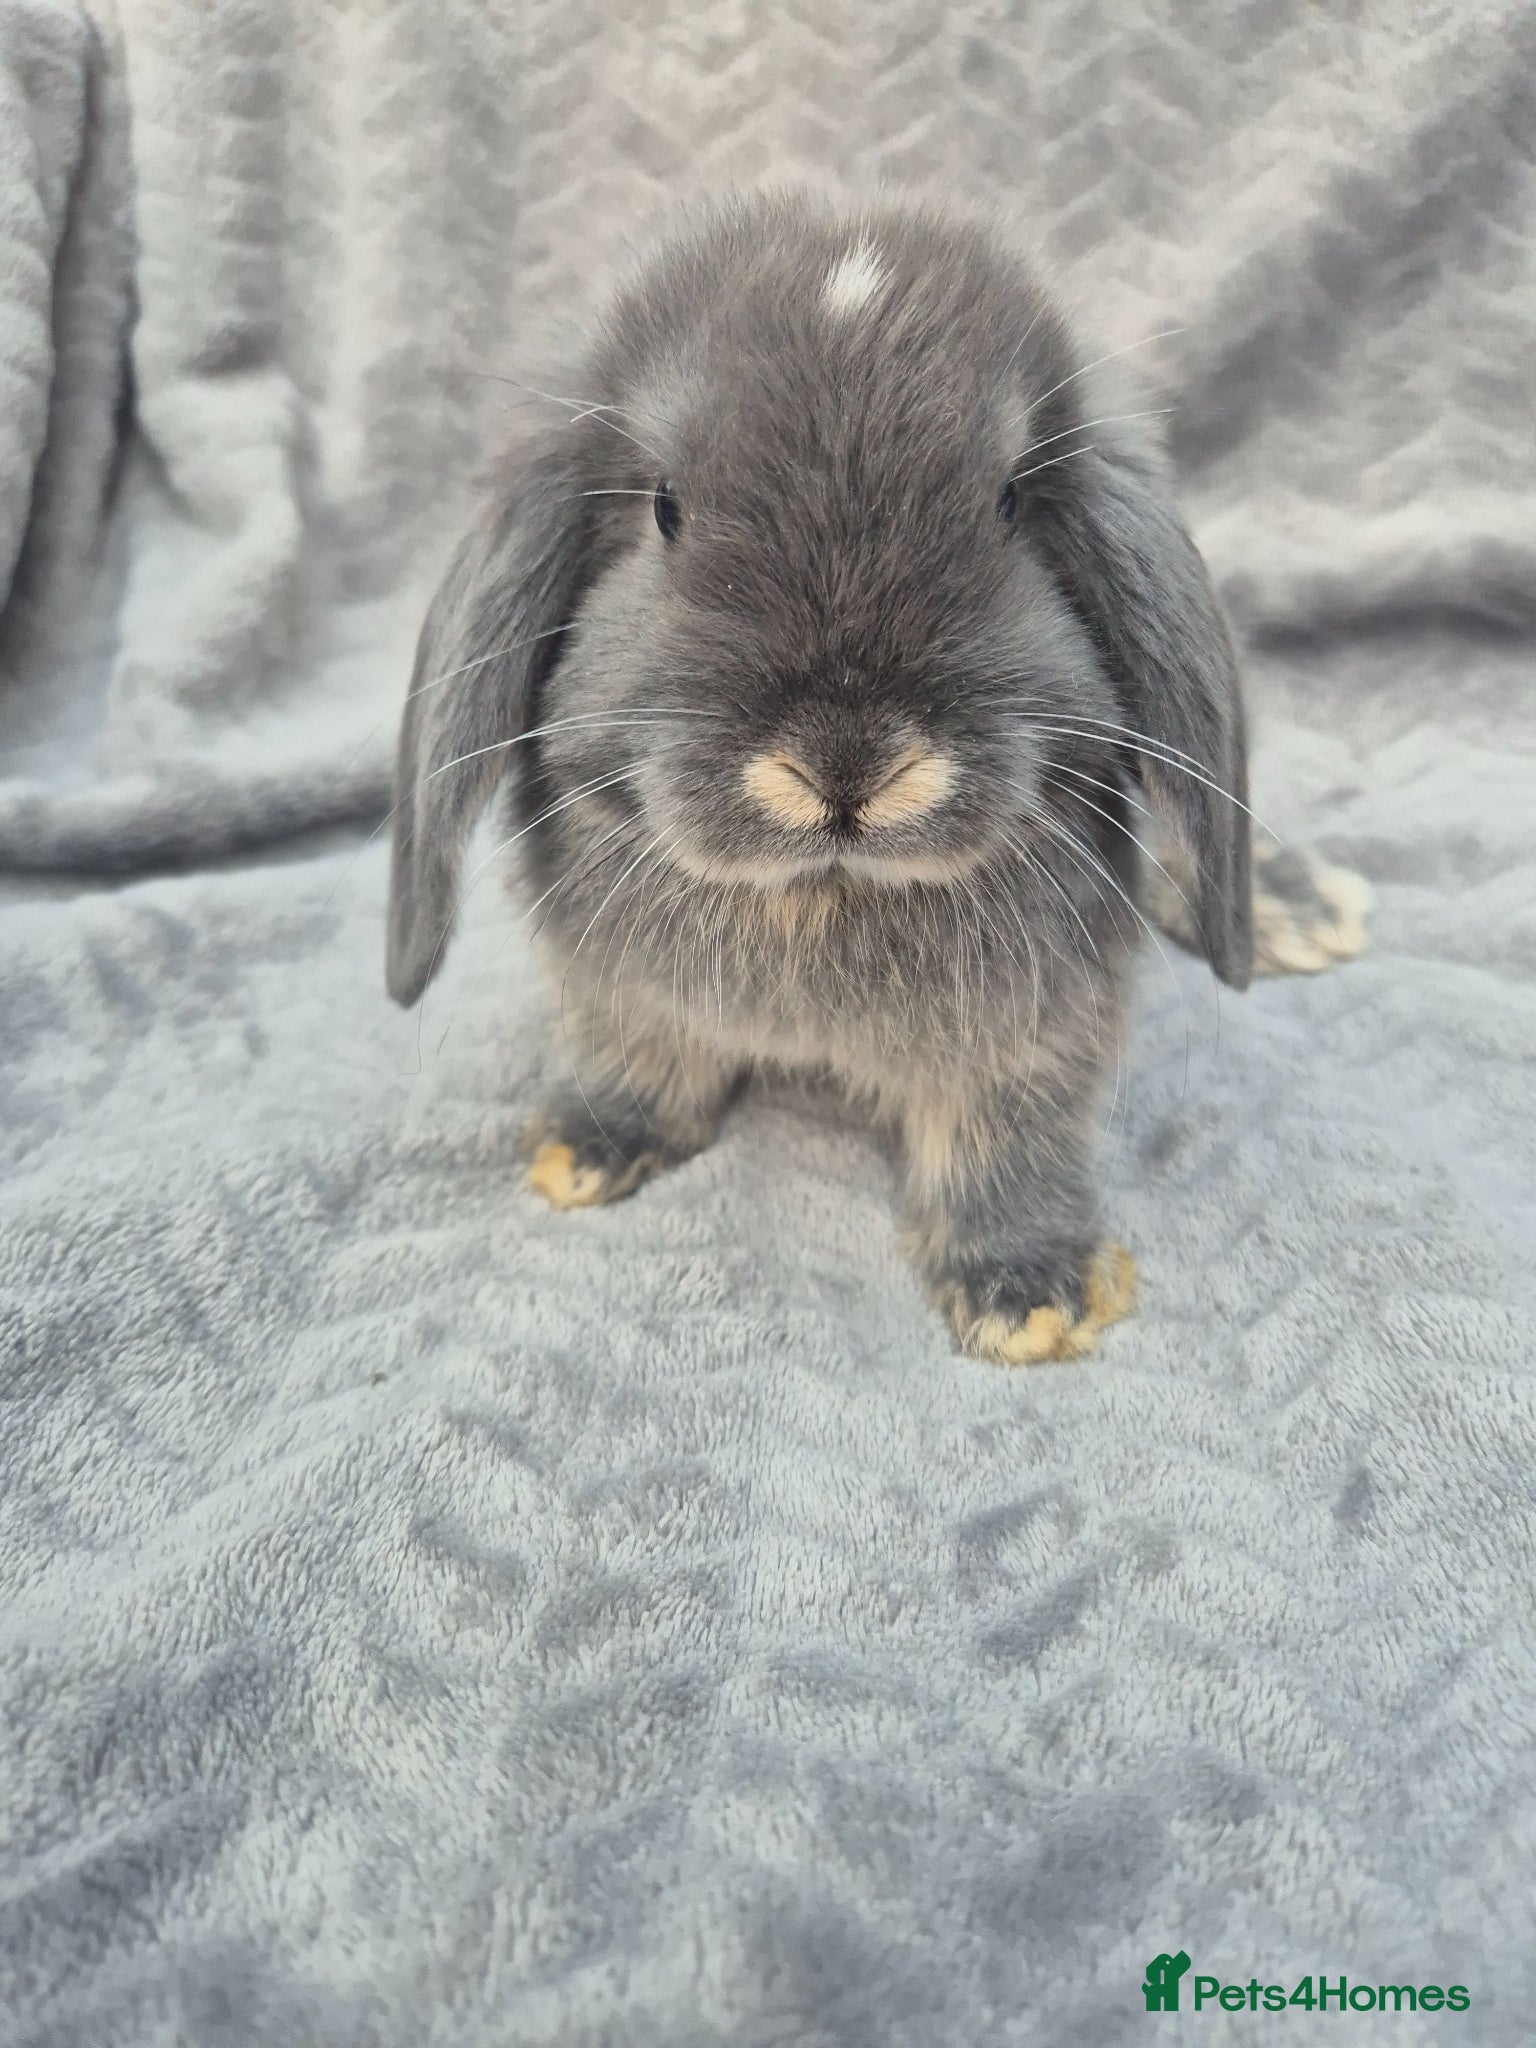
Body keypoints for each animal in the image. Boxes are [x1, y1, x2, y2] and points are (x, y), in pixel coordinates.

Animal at [386, 188, 1258, 1366]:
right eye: (665, 506)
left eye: (1008, 504)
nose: (847, 765)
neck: (820, 895)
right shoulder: (615, 993)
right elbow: (635, 1055)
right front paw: (591, 1147)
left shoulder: (1034, 1041)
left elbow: (1005, 1142)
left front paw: (1030, 1292)